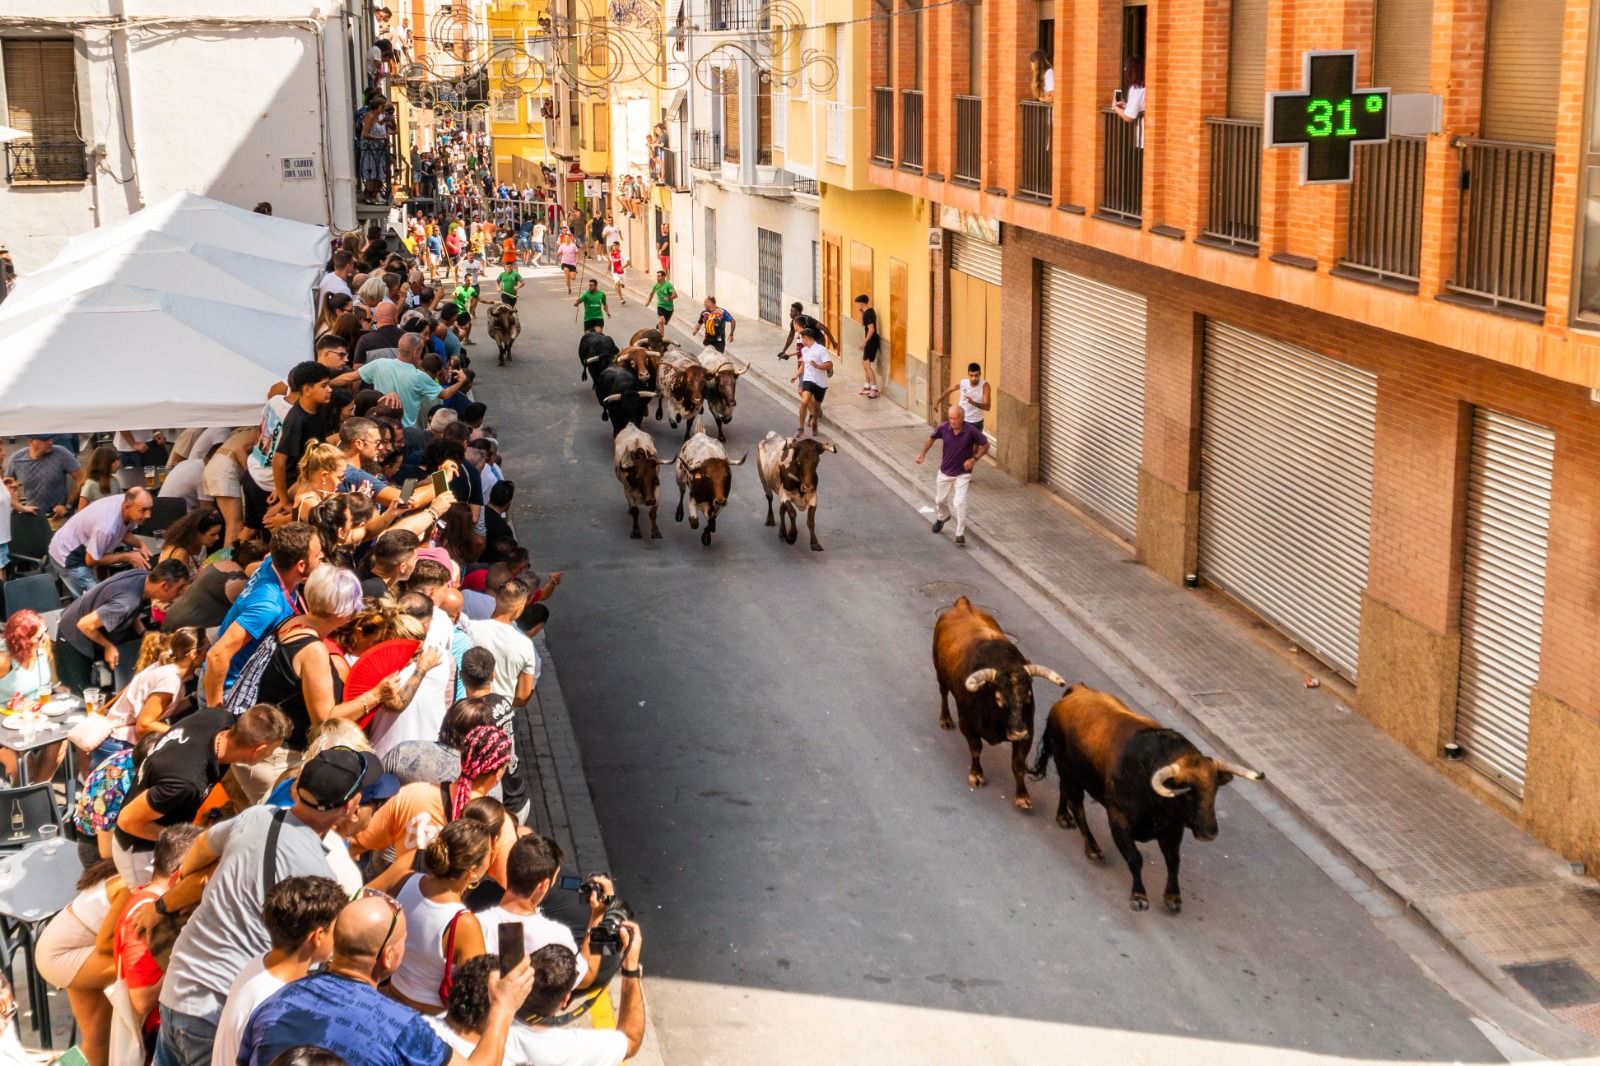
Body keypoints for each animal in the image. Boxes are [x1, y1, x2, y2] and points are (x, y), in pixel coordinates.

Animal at [934, 592, 1068, 809]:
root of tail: (963, 604)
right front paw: (976, 775)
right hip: (940, 674)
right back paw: (945, 719)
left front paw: (1022, 796)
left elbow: (1018, 765)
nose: (1018, 731)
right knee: (943, 694)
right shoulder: (968, 726)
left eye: (1028, 694)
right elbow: (976, 750)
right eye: (998, 697)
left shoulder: (1028, 734)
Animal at [1030, 685, 1267, 909]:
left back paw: (1063, 817)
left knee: (1064, 790)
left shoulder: (1173, 829)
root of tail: (1077, 690)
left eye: (1215, 790)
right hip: (1068, 769)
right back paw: (1092, 848)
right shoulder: (1118, 819)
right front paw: (1139, 896)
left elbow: (1173, 861)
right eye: (1188, 792)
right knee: (1077, 806)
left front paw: (1172, 896)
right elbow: (1135, 858)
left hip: (1071, 773)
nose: (1209, 833)